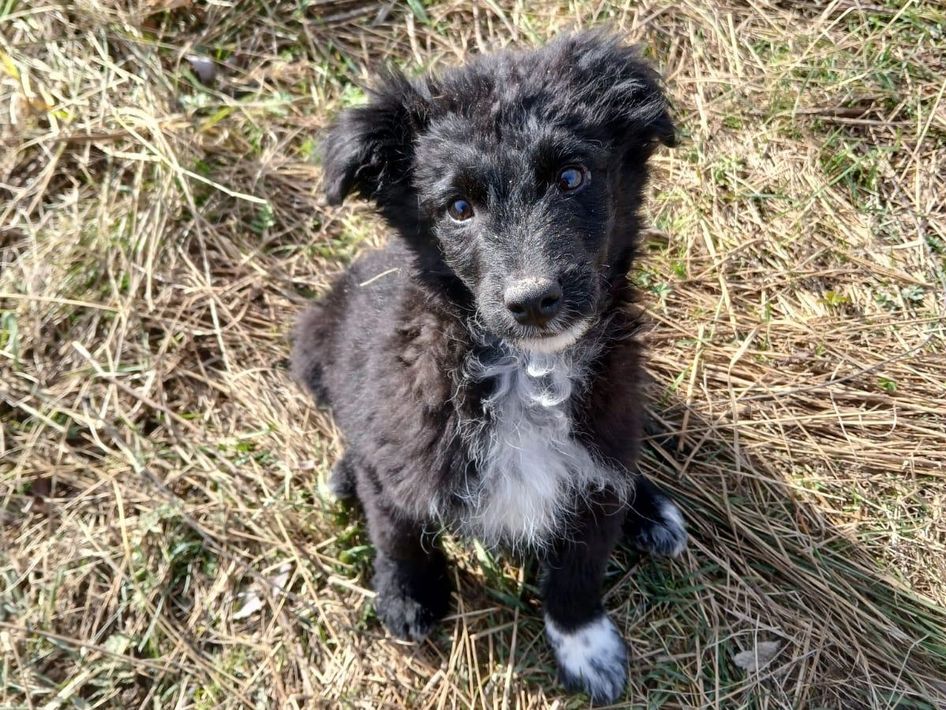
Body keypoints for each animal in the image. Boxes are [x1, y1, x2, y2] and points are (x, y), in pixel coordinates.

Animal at [292, 31, 686, 704]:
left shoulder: (595, 466)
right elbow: (398, 534)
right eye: (458, 207)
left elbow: (579, 569)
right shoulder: (398, 450)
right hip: (315, 352)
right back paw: (344, 475)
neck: (530, 372)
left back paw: (650, 509)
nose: (533, 300)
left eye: (572, 176)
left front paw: (586, 647)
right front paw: (408, 599)